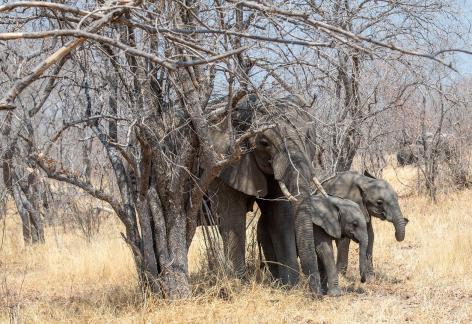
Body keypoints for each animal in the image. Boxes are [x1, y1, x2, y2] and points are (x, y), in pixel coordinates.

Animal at [205, 93, 326, 294]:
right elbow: (233, 219)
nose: (318, 295)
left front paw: (289, 287)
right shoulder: (223, 165)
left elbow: (279, 216)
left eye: (308, 138)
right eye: (264, 143)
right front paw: (239, 288)